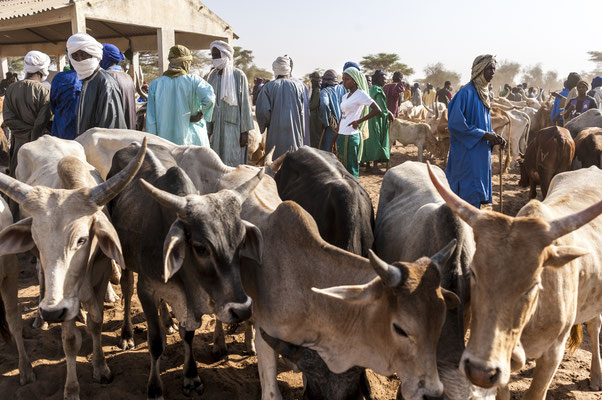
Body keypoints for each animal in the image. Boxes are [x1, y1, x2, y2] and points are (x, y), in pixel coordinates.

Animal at [0, 136, 147, 398]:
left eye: (81, 240)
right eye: (36, 239)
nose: (50, 312)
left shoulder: (99, 276)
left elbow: (96, 324)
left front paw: (101, 368)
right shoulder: (63, 300)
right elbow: (69, 340)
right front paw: (71, 388)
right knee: (40, 276)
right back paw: (40, 319)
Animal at [106, 143, 262, 396]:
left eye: (240, 242)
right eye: (200, 248)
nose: (242, 310)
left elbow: (188, 336)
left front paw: (191, 376)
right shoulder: (146, 290)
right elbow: (155, 342)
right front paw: (155, 387)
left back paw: (168, 322)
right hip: (125, 259)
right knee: (127, 290)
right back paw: (127, 334)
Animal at [424, 162, 600, 400]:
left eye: (533, 284)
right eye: (474, 273)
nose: (479, 371)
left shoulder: (554, 352)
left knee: (595, 325)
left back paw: (596, 375)